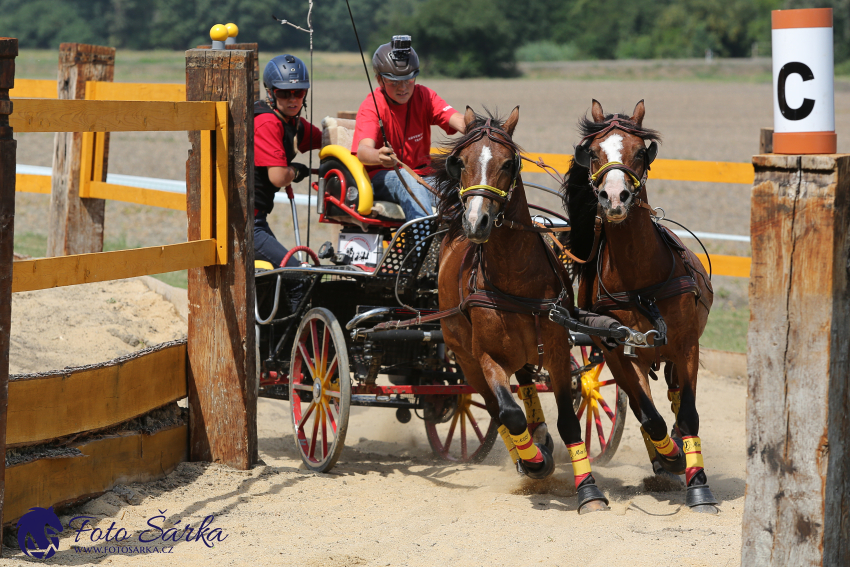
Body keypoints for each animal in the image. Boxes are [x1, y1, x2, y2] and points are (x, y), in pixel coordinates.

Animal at [430, 106, 608, 516]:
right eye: (461, 162)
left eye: (509, 163)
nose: (476, 221)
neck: (516, 280)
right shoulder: (486, 356)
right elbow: (508, 414)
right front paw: (534, 462)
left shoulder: (557, 351)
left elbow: (569, 422)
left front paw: (589, 491)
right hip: (464, 357)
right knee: (496, 409)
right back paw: (529, 455)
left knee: (526, 381)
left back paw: (540, 435)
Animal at [564, 101, 716, 516]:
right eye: (593, 152)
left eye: (638, 151)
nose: (614, 197)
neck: (639, 281)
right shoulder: (617, 352)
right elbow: (648, 415)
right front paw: (669, 456)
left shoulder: (687, 346)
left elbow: (688, 414)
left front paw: (699, 488)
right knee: (642, 405)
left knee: (676, 398)